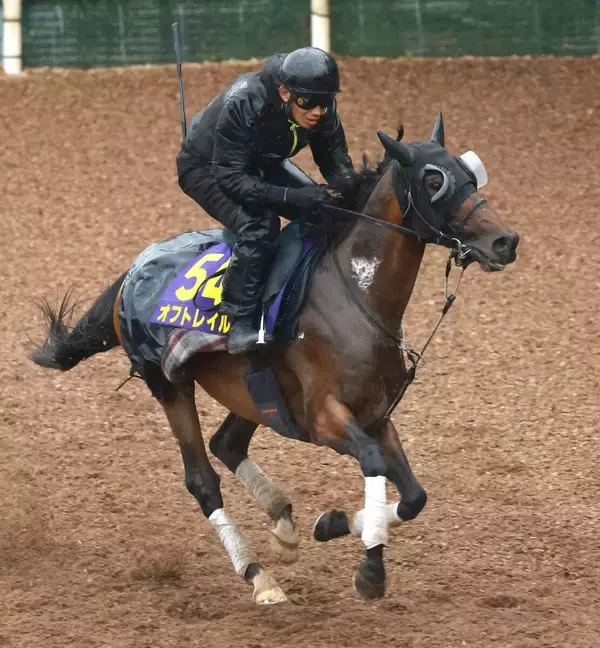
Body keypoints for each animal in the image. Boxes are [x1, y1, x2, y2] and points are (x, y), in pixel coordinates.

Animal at [29, 114, 519, 605]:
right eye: (434, 180)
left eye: (469, 172)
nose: (505, 241)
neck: (355, 297)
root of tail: (132, 271)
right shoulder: (324, 419)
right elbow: (372, 463)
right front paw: (370, 569)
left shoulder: (377, 415)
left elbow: (415, 496)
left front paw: (330, 525)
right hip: (170, 385)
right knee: (202, 479)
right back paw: (258, 575)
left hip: (254, 393)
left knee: (226, 444)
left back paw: (283, 522)